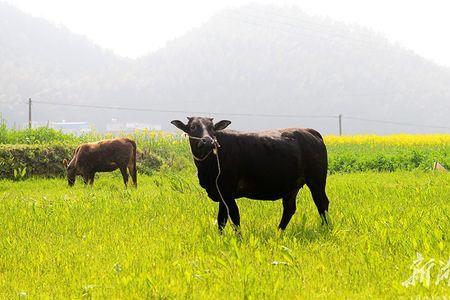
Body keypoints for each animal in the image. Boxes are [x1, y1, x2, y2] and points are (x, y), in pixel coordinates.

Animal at [172, 117, 330, 232]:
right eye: (193, 127)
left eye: (212, 128)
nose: (208, 141)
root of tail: (309, 131)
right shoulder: (220, 193)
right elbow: (221, 220)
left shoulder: (227, 192)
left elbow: (234, 217)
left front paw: (239, 239)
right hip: (292, 187)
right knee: (289, 209)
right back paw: (279, 232)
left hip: (317, 181)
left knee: (322, 203)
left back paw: (326, 228)